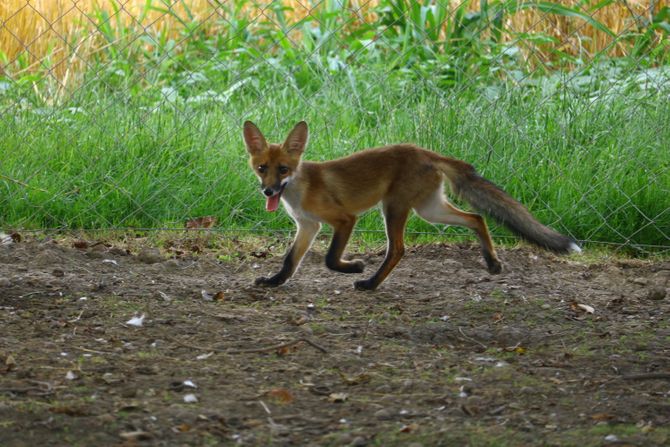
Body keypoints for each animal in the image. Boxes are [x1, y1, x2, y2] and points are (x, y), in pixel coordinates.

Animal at [244, 121, 580, 292]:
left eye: (283, 169)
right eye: (262, 168)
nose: (268, 191)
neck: (301, 188)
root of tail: (426, 151)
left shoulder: (344, 219)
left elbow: (329, 259)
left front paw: (354, 266)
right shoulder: (308, 225)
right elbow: (290, 261)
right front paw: (274, 282)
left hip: (394, 209)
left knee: (398, 250)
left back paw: (370, 283)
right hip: (430, 211)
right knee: (477, 217)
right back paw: (492, 262)